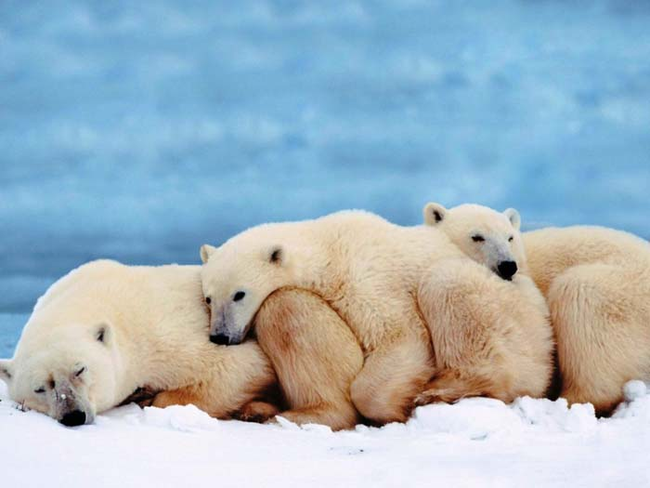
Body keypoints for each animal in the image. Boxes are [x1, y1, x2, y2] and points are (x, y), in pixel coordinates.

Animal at [0, 262, 276, 426]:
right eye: (39, 388)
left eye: (80, 370)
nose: (73, 415)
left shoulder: (164, 334)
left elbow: (243, 364)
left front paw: (149, 396)